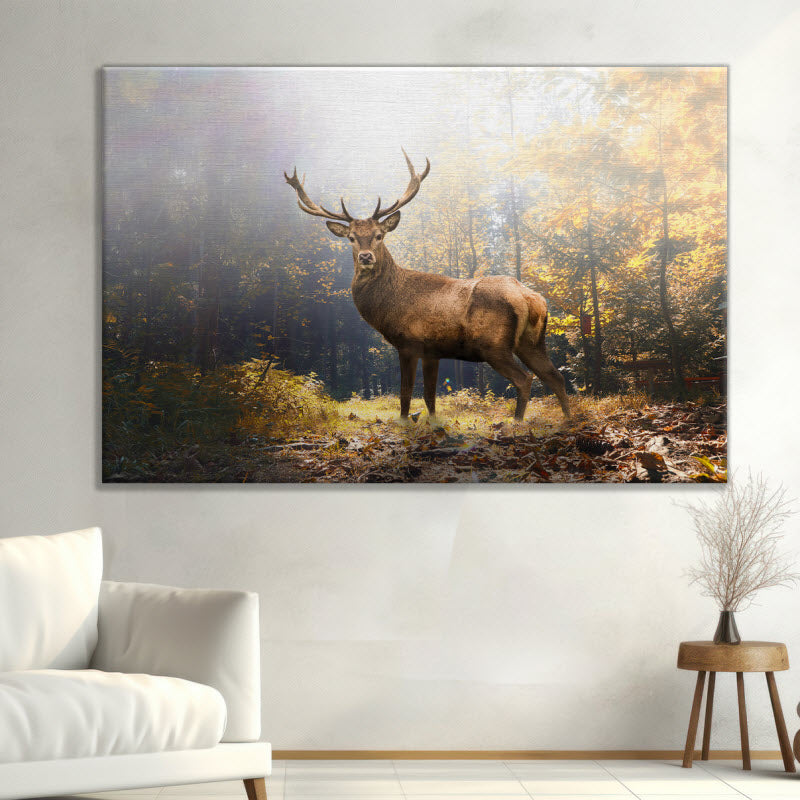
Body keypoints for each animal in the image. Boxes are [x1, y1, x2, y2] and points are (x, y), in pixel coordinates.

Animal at [285, 150, 570, 423]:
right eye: (352, 238)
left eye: (379, 235)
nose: (366, 257)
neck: (388, 305)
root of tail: (530, 297)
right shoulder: (433, 351)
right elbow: (430, 395)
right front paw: (431, 422)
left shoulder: (408, 342)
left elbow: (406, 393)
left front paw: (403, 423)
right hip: (532, 341)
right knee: (556, 376)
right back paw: (569, 418)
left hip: (494, 344)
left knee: (525, 379)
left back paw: (517, 421)